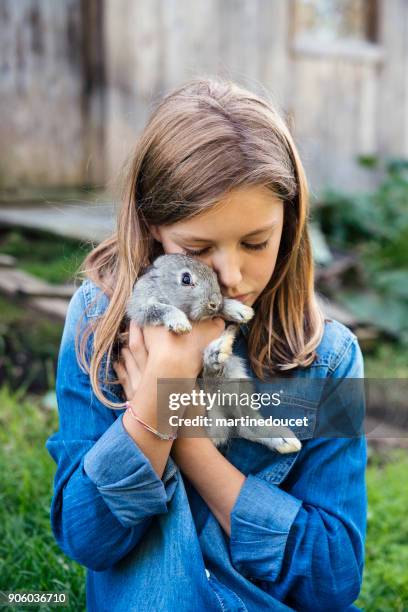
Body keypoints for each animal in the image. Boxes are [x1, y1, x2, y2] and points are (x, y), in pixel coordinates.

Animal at [126, 253, 302, 454]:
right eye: (185, 279)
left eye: (213, 274)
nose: (214, 303)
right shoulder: (141, 308)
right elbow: (162, 308)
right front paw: (180, 323)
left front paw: (240, 311)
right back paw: (217, 352)